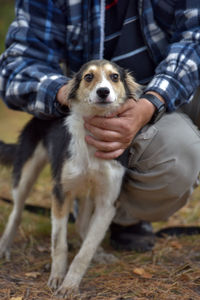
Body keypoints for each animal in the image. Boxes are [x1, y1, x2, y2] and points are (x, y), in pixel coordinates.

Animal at [0, 59, 141, 298]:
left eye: (114, 77)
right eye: (88, 77)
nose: (103, 92)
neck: (92, 140)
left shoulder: (107, 203)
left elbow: (86, 250)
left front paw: (71, 284)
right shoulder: (61, 192)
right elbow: (59, 243)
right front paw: (57, 277)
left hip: (87, 193)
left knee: (83, 225)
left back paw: (99, 254)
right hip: (27, 173)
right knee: (16, 213)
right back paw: (4, 246)